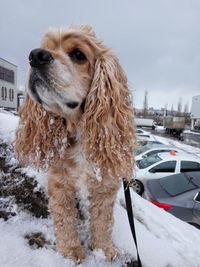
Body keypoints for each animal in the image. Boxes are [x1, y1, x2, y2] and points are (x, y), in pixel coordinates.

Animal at [15, 25, 134, 262]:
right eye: (45, 48)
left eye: (79, 55)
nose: (35, 56)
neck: (78, 129)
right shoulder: (59, 183)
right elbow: (64, 218)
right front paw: (71, 251)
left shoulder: (106, 186)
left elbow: (103, 220)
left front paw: (103, 250)